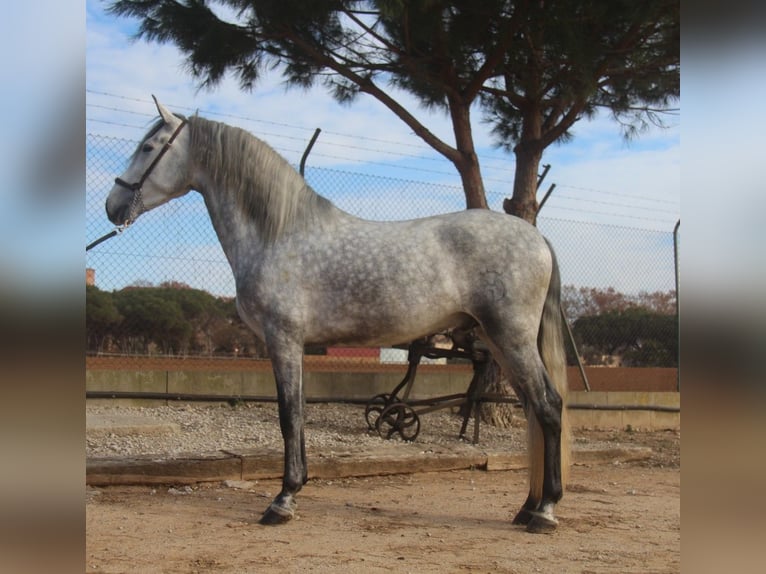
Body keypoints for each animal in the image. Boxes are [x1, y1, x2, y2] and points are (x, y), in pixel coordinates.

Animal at [109, 97, 576, 532]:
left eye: (148, 146)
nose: (113, 206)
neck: (279, 234)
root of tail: (537, 237)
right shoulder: (294, 345)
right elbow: (297, 413)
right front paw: (296, 488)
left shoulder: (283, 339)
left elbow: (288, 415)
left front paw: (282, 500)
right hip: (499, 341)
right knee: (534, 410)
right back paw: (527, 507)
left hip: (511, 338)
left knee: (549, 406)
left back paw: (545, 511)